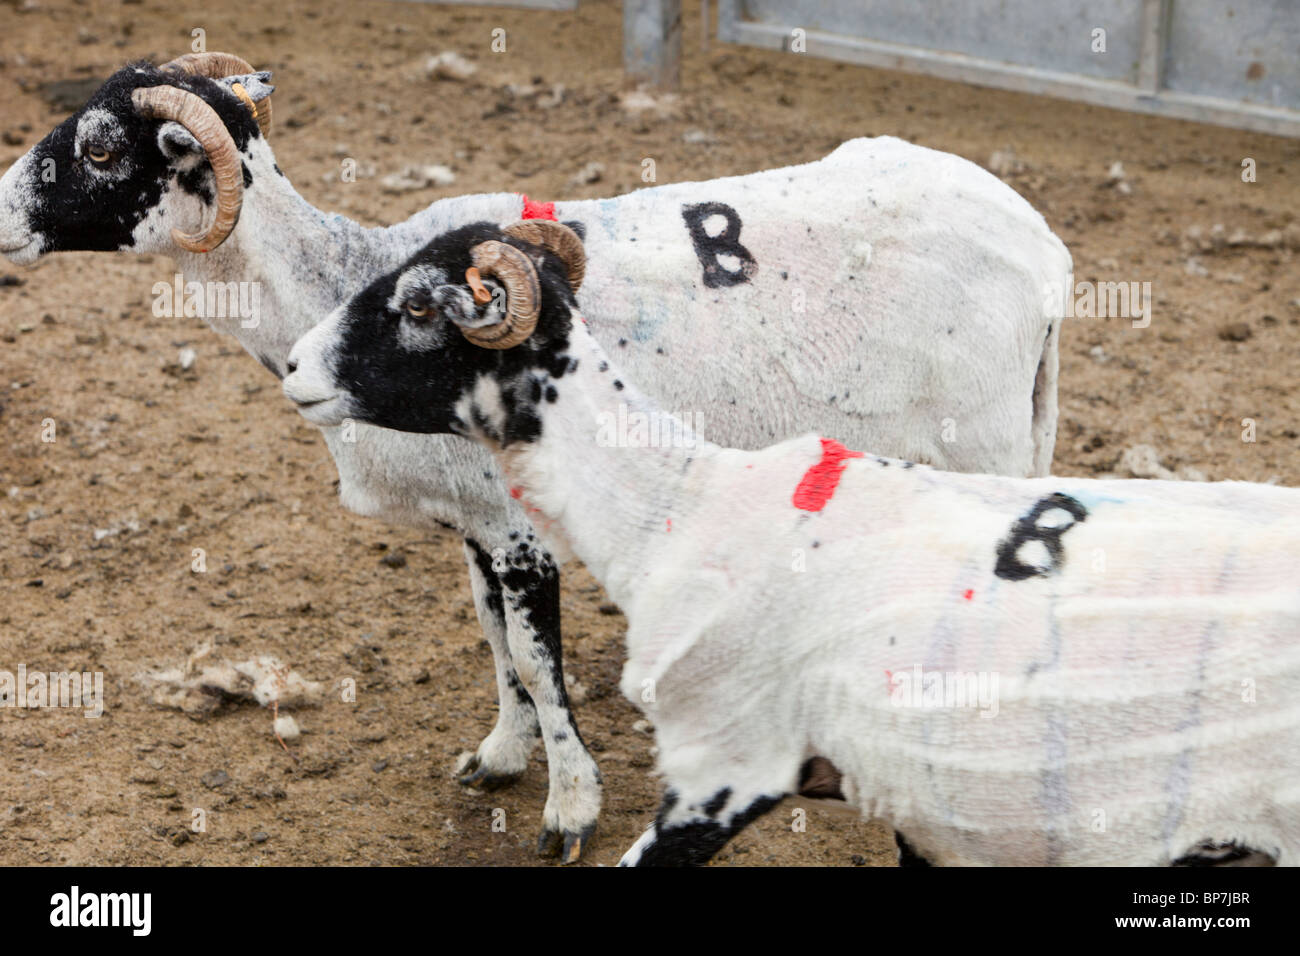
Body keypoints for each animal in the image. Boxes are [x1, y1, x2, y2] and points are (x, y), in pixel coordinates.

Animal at [0, 54, 1076, 858]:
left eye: (100, 148)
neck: (331, 283)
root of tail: (1042, 248)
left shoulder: (521, 531)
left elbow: (535, 654)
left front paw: (570, 807)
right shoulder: (474, 523)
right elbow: (493, 642)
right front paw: (501, 756)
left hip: (986, 440)